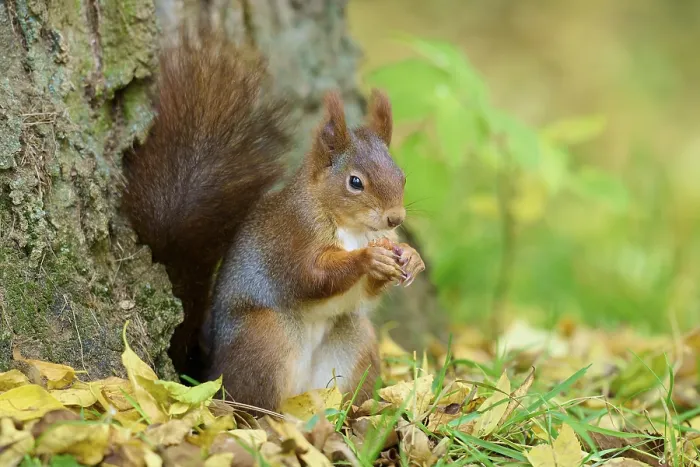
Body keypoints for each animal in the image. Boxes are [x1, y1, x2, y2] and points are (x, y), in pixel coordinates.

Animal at [121, 29, 425, 411]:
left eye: (402, 176)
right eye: (355, 182)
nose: (394, 218)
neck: (352, 227)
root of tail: (210, 371)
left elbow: (366, 291)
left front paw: (410, 257)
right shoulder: (291, 235)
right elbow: (309, 276)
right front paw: (369, 258)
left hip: (354, 343)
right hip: (266, 339)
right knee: (250, 401)